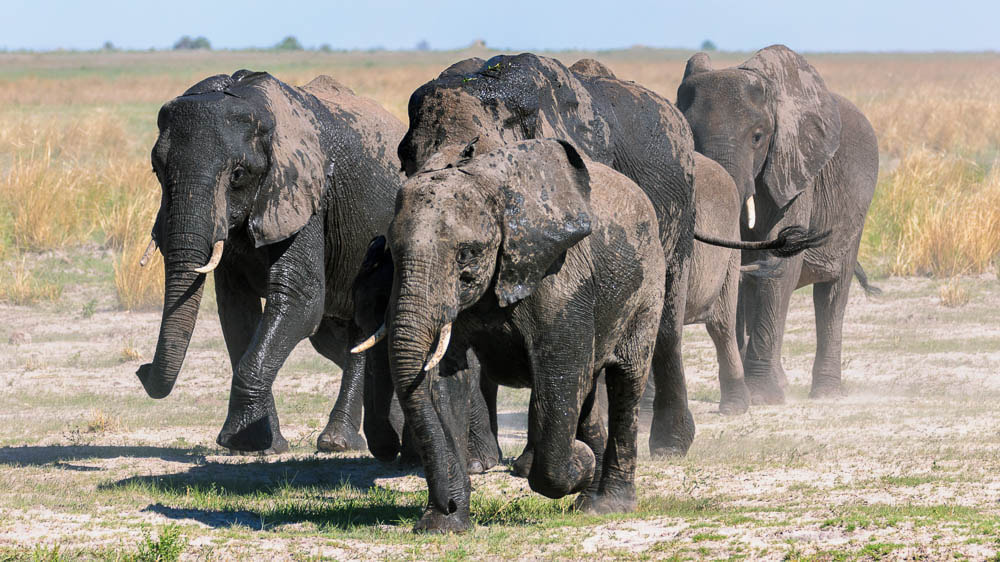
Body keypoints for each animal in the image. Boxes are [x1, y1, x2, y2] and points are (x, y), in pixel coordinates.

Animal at [135, 69, 405, 454]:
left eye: (237, 175)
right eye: (156, 171)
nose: (141, 370)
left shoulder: (305, 192)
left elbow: (299, 299)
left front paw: (242, 441)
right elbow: (237, 311)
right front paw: (261, 445)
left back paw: (338, 442)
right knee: (338, 338)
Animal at [379, 138, 666, 532]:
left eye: (467, 254)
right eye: (392, 252)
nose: (447, 504)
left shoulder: (561, 283)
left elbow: (559, 379)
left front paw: (577, 461)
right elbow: (445, 383)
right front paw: (443, 526)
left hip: (648, 284)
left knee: (626, 381)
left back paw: (606, 505)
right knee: (589, 386)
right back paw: (588, 495)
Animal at [676, 45, 880, 403]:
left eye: (758, 137)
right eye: (690, 136)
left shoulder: (793, 170)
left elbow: (781, 266)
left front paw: (762, 397)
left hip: (856, 214)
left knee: (831, 294)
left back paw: (825, 393)